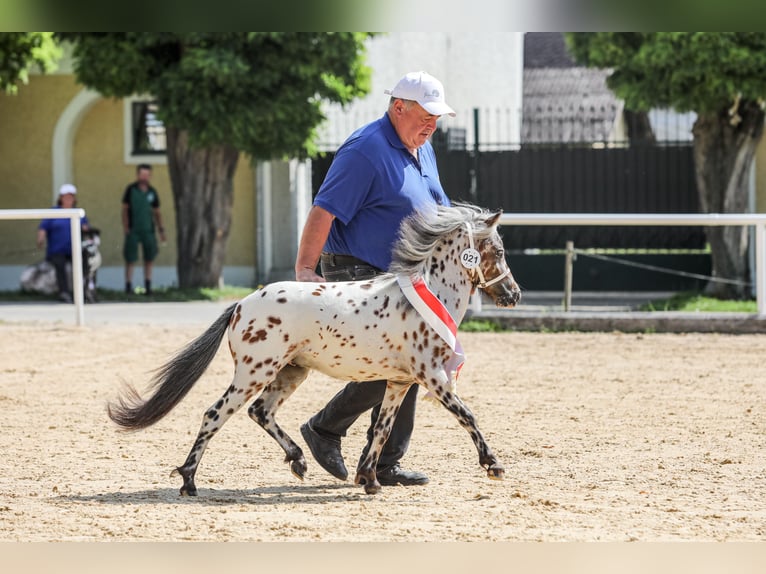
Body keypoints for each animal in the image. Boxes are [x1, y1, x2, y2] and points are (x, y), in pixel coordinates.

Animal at [108, 205, 520, 498]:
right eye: (498, 250)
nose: (513, 295)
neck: (425, 297)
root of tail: (240, 305)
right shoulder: (433, 377)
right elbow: (467, 416)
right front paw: (494, 466)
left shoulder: (400, 382)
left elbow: (383, 429)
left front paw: (369, 480)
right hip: (253, 373)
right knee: (215, 414)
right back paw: (189, 481)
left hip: (291, 371)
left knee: (261, 412)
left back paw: (300, 461)